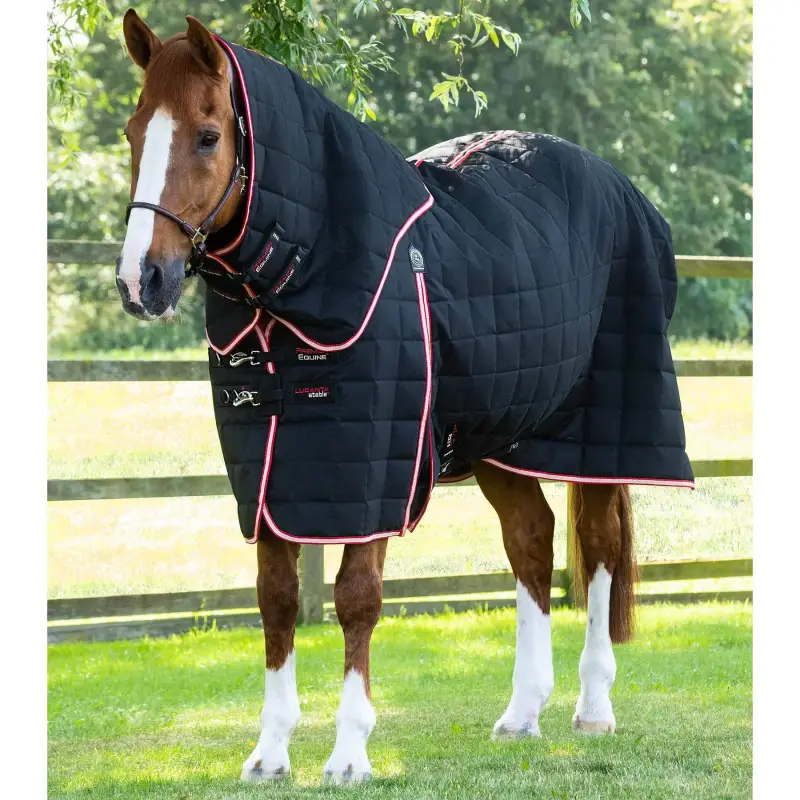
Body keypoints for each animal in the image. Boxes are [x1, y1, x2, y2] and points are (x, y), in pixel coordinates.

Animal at [115, 9, 694, 783]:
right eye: (132, 130)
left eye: (208, 135)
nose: (139, 280)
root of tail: (628, 195)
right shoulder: (273, 473)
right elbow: (277, 601)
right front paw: (270, 753)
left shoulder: (371, 473)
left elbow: (357, 599)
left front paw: (349, 753)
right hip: (499, 441)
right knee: (531, 541)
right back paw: (521, 713)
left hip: (604, 433)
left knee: (597, 549)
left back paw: (593, 708)